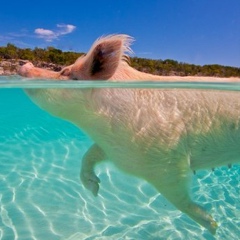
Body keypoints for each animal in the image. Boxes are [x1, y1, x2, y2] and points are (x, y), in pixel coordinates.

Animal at [18, 34, 240, 233]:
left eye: (65, 72)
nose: (25, 64)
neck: (95, 125)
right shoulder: (116, 151)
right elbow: (89, 155)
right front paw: (95, 190)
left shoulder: (167, 165)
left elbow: (180, 199)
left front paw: (213, 227)